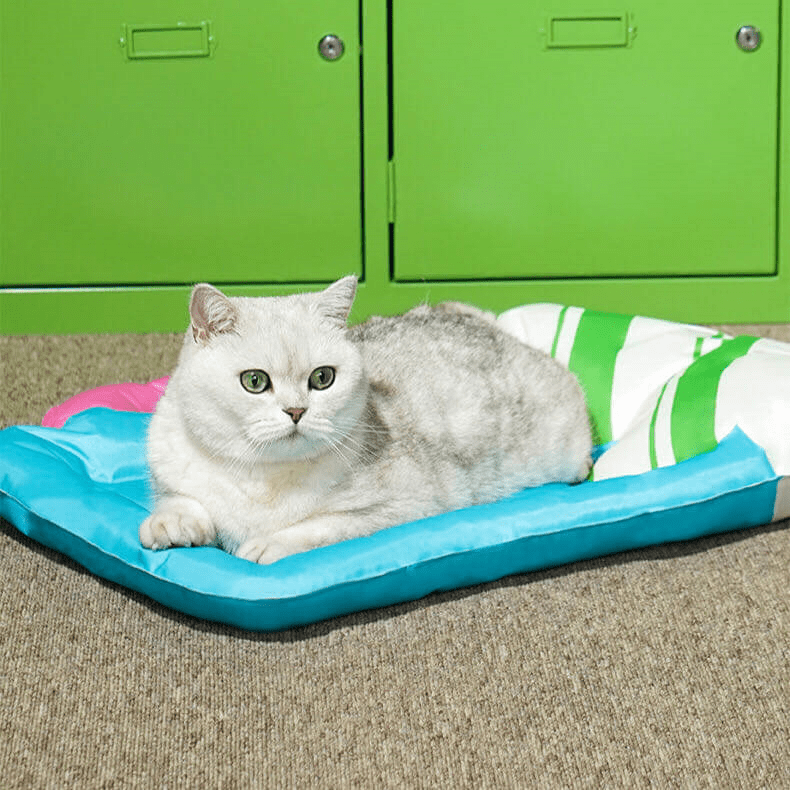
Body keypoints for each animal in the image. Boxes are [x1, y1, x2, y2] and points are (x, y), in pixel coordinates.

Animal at [139, 278, 592, 564]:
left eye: (322, 378)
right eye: (255, 382)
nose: (296, 411)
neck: (261, 477)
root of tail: (484, 321)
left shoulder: (399, 506)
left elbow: (319, 526)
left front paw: (266, 544)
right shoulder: (172, 470)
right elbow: (181, 498)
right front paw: (169, 524)